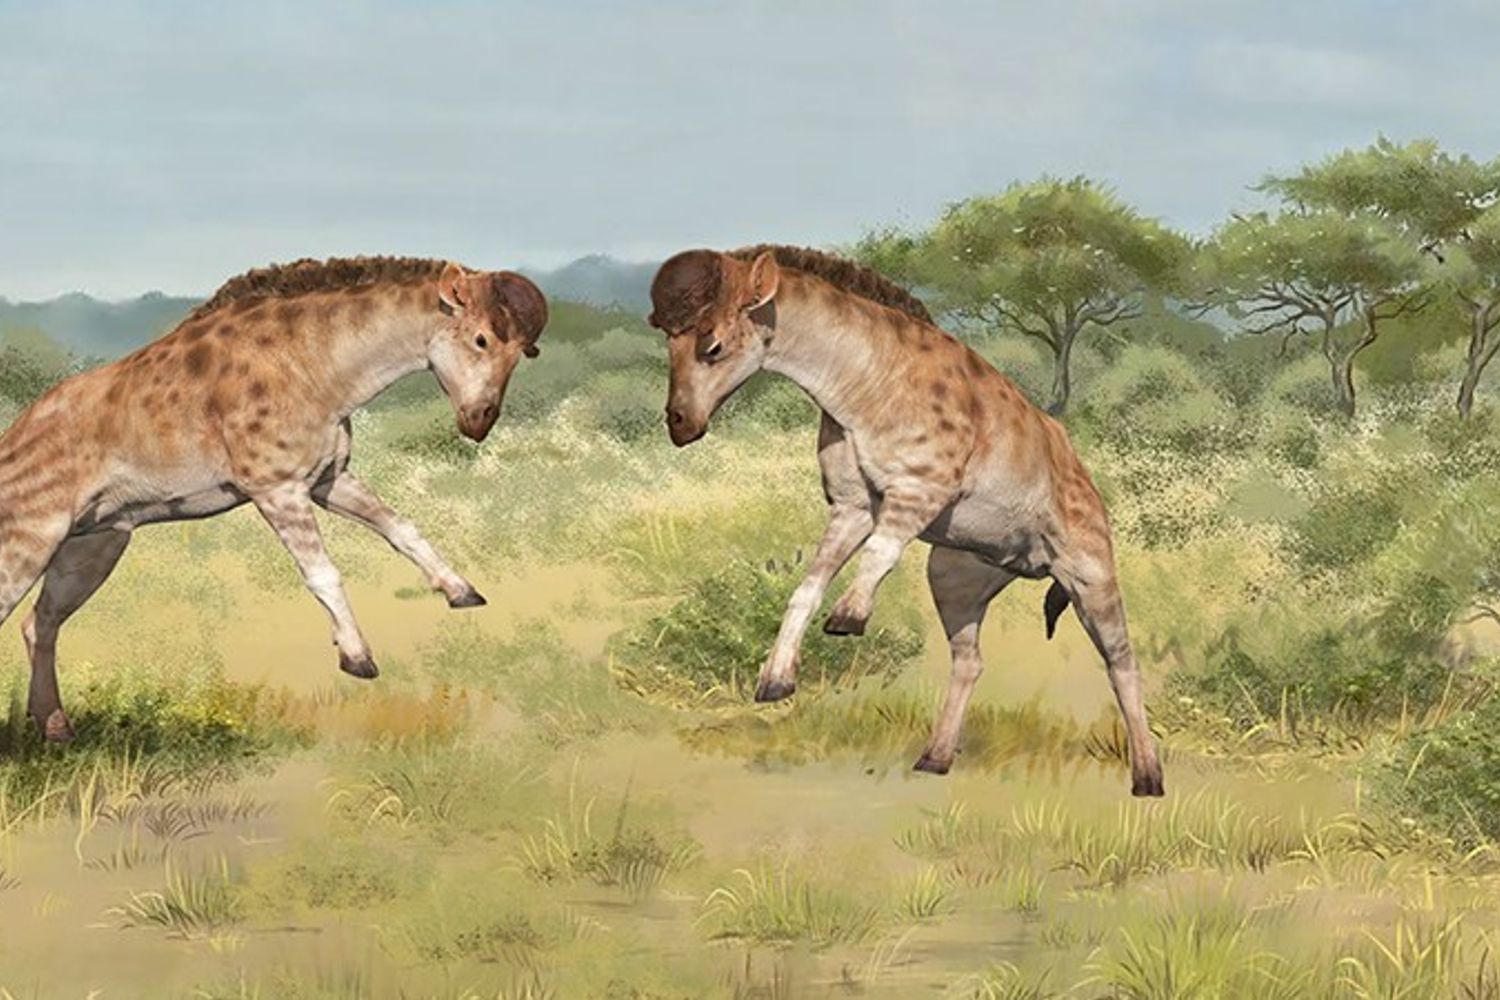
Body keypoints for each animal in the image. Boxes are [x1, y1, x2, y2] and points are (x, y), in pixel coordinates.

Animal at [0, 256, 547, 741]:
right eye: (481, 339)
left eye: (522, 352)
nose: (479, 422)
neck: (313, 363)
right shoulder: (277, 490)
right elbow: (323, 573)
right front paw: (357, 657)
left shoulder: (327, 481)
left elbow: (401, 528)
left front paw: (461, 592)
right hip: (30, 542)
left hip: (92, 548)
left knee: (39, 624)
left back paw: (56, 728)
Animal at [648, 245, 1164, 796]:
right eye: (667, 342)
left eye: (712, 345)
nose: (679, 424)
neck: (862, 385)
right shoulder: (852, 506)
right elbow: (807, 587)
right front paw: (775, 680)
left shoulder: (921, 488)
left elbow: (881, 551)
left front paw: (848, 617)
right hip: (953, 578)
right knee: (970, 659)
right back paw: (935, 758)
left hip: (1090, 576)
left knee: (1121, 662)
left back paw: (1148, 777)